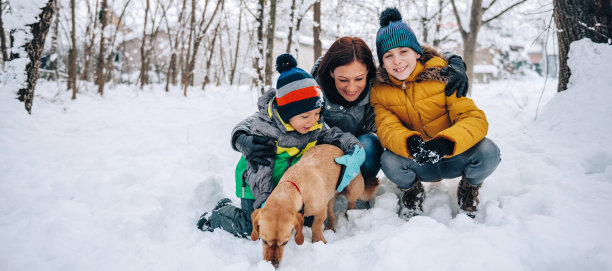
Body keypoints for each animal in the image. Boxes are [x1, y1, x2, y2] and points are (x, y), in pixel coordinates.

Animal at [250, 144, 378, 268]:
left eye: (285, 242)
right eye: (264, 241)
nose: (274, 265)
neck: (293, 189)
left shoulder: (320, 210)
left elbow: (315, 226)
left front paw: (319, 241)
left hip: (352, 189)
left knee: (351, 203)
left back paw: (348, 216)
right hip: (329, 198)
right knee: (331, 214)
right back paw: (330, 227)